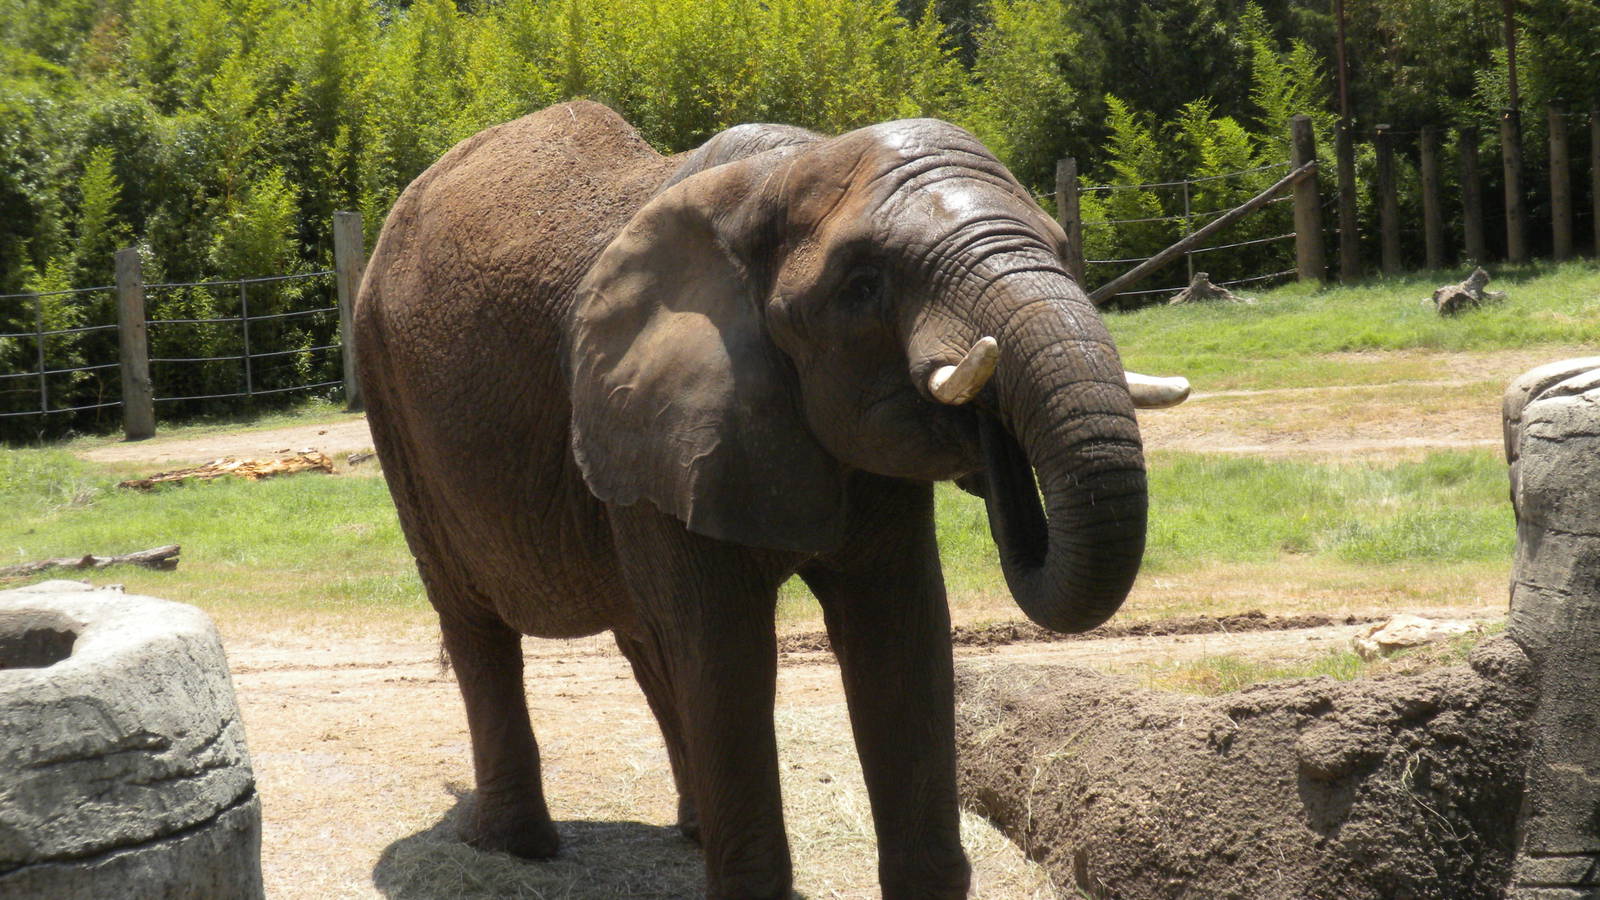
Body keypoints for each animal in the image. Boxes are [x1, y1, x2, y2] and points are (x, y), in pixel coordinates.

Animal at [355, 100, 1186, 899]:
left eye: (1063, 248)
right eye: (862, 287)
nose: (990, 433)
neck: (773, 180)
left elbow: (902, 628)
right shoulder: (661, 409)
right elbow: (726, 648)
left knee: (643, 630)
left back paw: (690, 830)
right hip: (392, 406)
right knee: (477, 623)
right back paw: (514, 846)